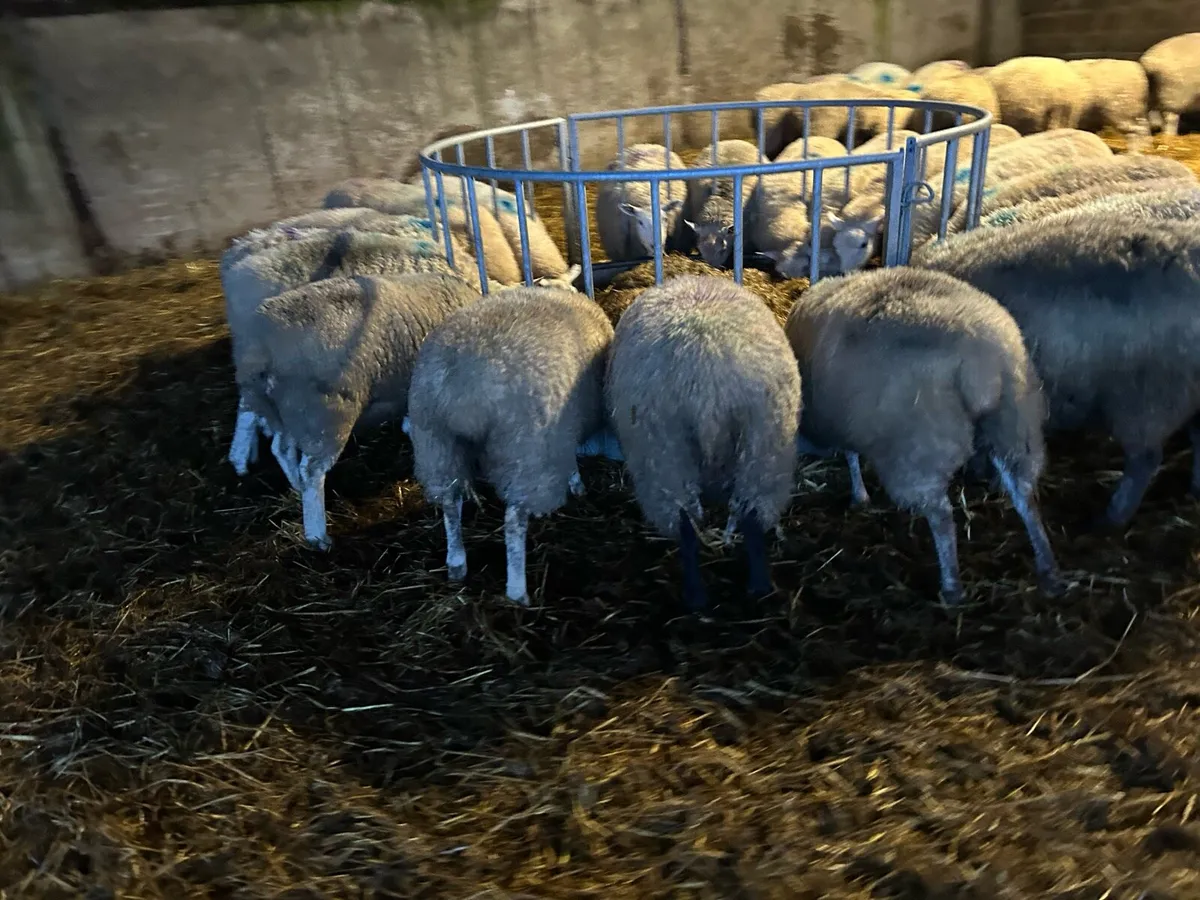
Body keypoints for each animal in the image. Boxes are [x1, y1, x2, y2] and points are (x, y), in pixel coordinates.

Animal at [238, 273, 482, 549]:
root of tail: (261, 344)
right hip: (324, 414)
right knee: (311, 470)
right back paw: (318, 535)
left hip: (284, 410)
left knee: (281, 448)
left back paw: (296, 487)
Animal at [407, 287, 614, 604]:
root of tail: (465, 383)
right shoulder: (558, 436)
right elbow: (570, 464)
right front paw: (577, 485)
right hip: (526, 448)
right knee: (514, 519)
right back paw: (517, 590)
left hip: (436, 442)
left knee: (450, 501)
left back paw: (456, 562)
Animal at [606, 275, 801, 610]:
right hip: (765, 442)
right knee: (751, 512)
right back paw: (759, 586)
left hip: (661, 450)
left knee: (684, 520)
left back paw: (695, 596)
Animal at [784, 266, 1060, 604]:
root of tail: (981, 358)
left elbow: (850, 455)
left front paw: (858, 495)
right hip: (1016, 421)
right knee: (1024, 494)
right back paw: (1049, 570)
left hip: (920, 444)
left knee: (941, 515)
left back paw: (951, 587)